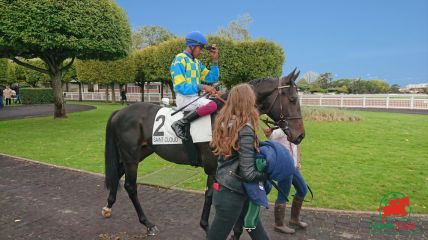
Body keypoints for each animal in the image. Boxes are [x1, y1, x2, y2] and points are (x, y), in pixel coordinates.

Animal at [103, 68, 304, 235]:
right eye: (292, 99)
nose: (300, 135)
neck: (228, 118)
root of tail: (119, 112)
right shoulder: (214, 168)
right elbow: (211, 195)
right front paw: (208, 227)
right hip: (131, 156)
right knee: (130, 186)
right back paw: (147, 223)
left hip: (141, 153)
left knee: (117, 173)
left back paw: (108, 206)